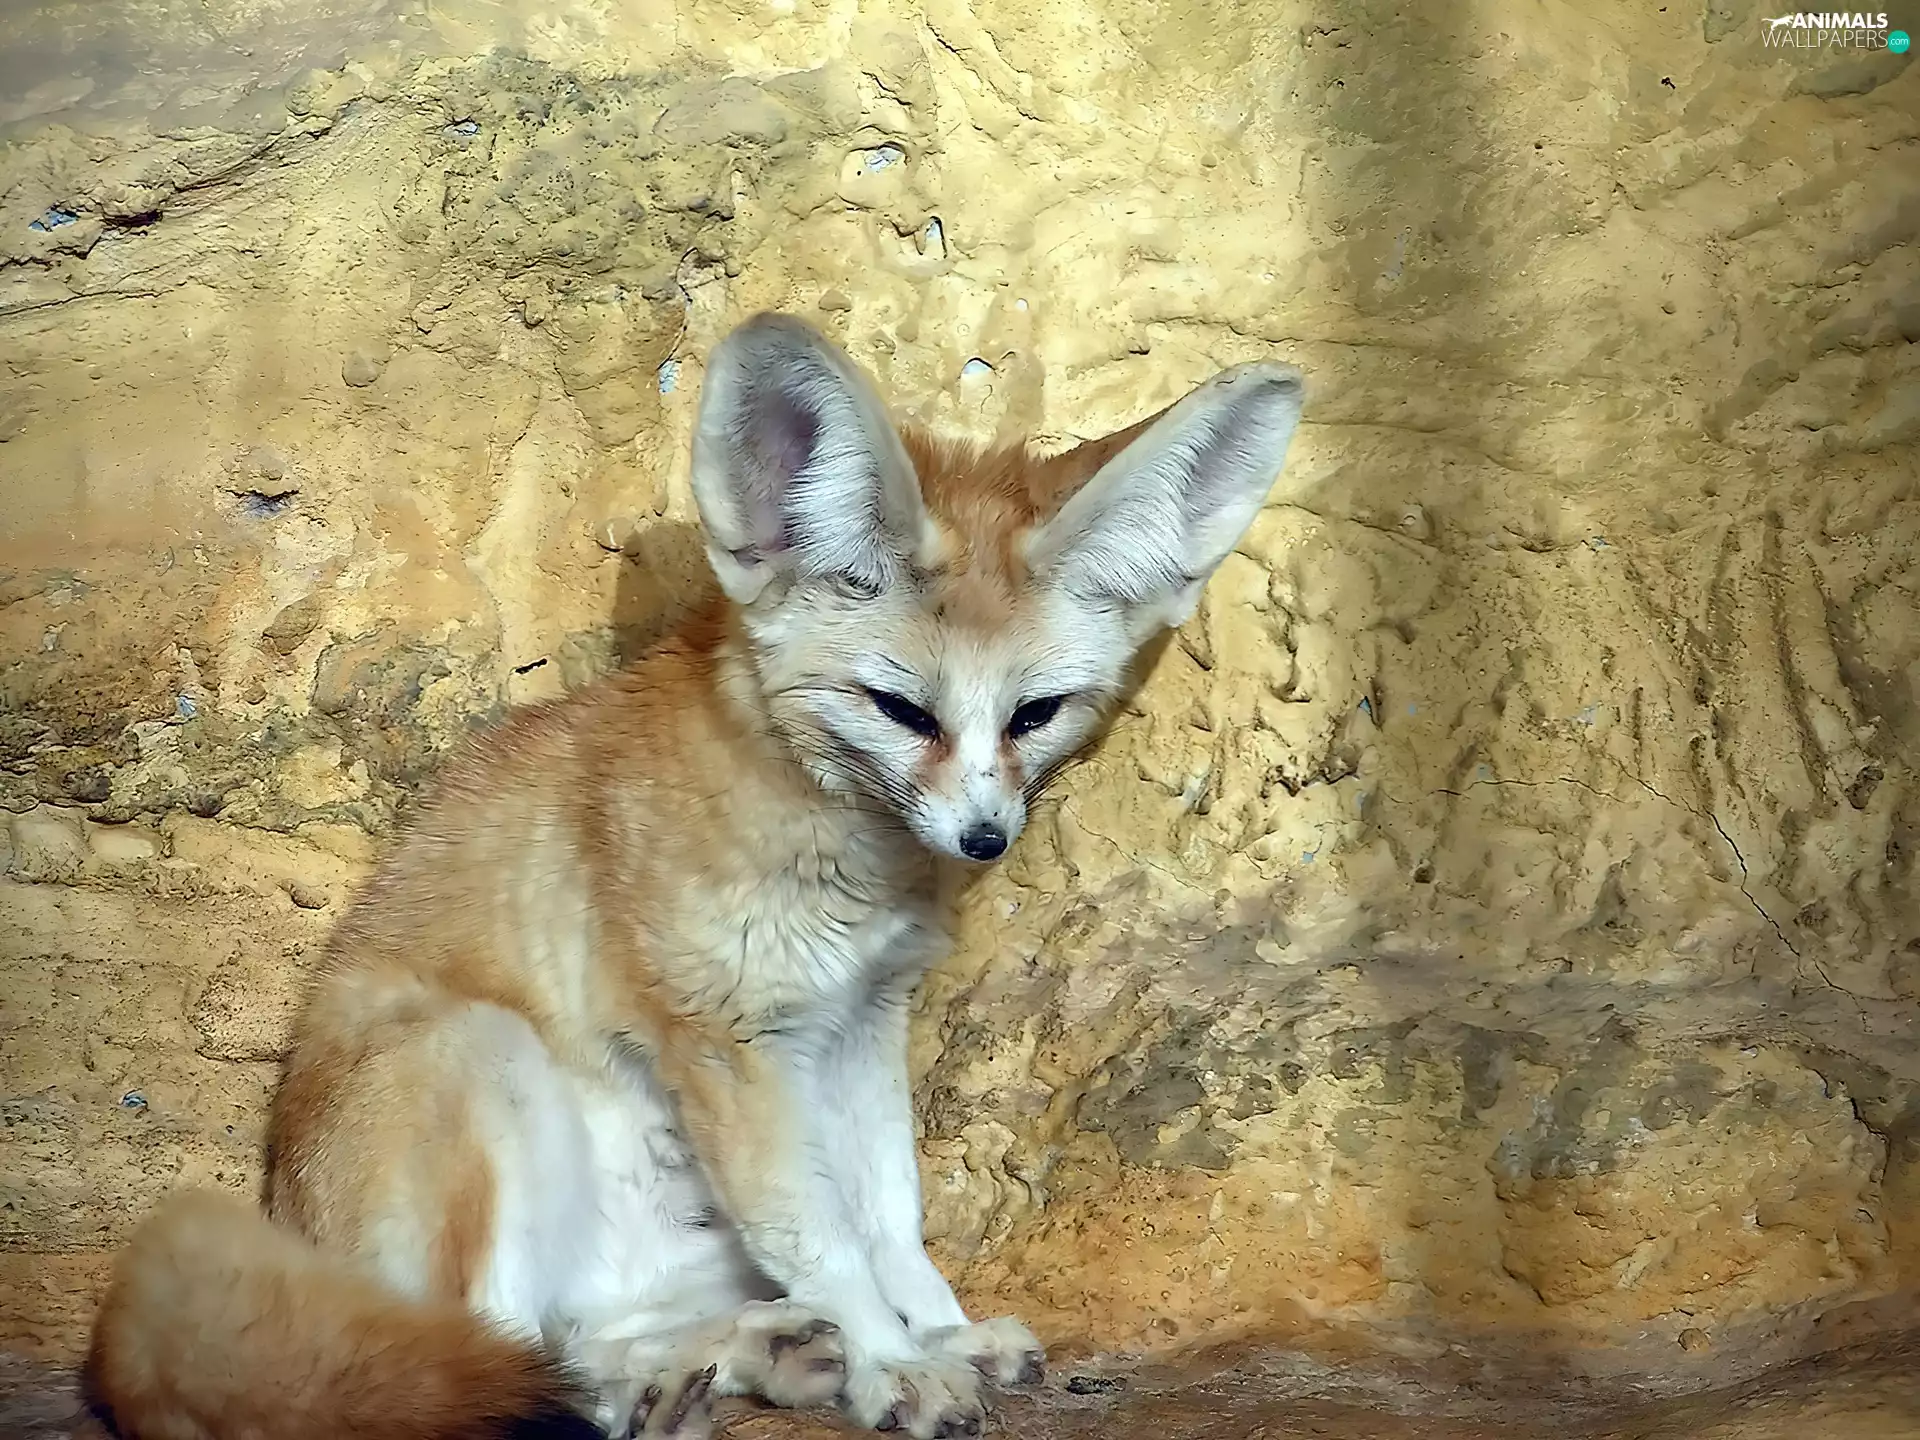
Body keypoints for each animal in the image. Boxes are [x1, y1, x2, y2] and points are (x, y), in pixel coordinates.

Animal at [85, 313, 1307, 1440]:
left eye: (1034, 714)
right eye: (901, 710)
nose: (984, 839)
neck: (839, 852)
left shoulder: (861, 1022)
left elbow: (889, 1218)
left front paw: (936, 1332)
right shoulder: (731, 1044)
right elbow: (826, 1240)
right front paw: (894, 1364)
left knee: (580, 1336)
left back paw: (743, 1357)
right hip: (483, 1059)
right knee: (494, 1358)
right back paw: (681, 1382)